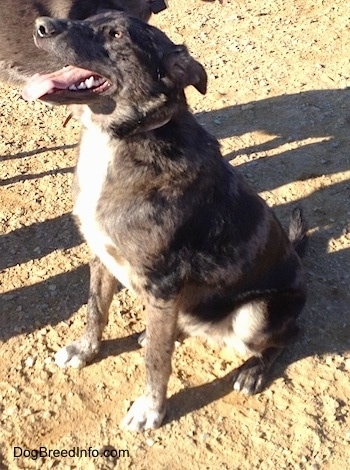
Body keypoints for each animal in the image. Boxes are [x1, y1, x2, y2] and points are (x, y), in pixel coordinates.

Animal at [21, 11, 308, 432]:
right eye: (87, 17)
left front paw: (150, 409)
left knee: (288, 336)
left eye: (116, 34)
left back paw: (253, 370)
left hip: (254, 316)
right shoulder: (102, 256)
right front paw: (86, 350)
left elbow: (157, 360)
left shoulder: (162, 282)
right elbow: (95, 310)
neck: (118, 141)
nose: (40, 25)